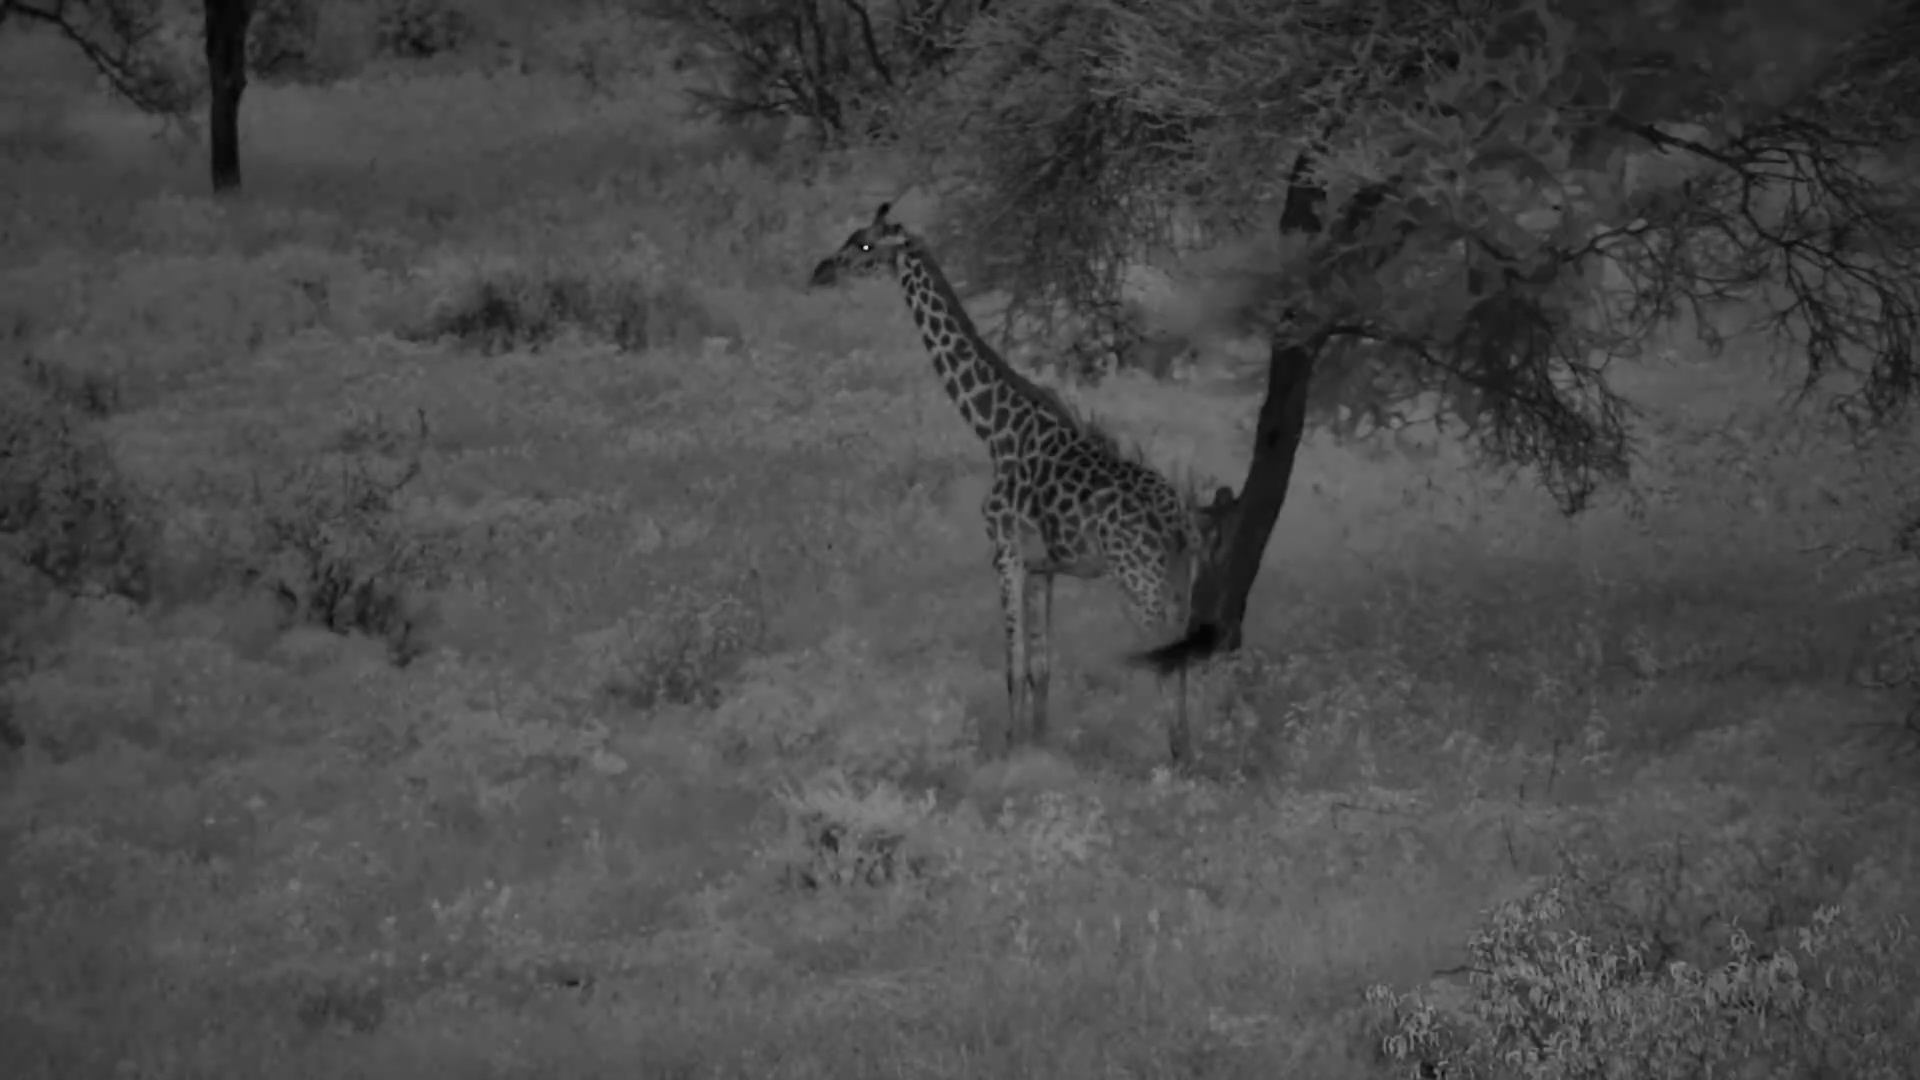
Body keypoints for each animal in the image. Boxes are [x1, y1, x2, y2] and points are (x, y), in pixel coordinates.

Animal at [808, 203, 1237, 765]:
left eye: (863, 245)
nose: (820, 271)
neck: (996, 429)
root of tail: (1178, 523)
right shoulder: (1042, 567)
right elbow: (1041, 668)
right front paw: (1039, 742)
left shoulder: (1005, 550)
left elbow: (1012, 666)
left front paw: (1010, 747)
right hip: (1178, 581)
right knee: (1179, 660)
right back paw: (1185, 753)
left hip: (1138, 583)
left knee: (1166, 661)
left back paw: (1179, 760)